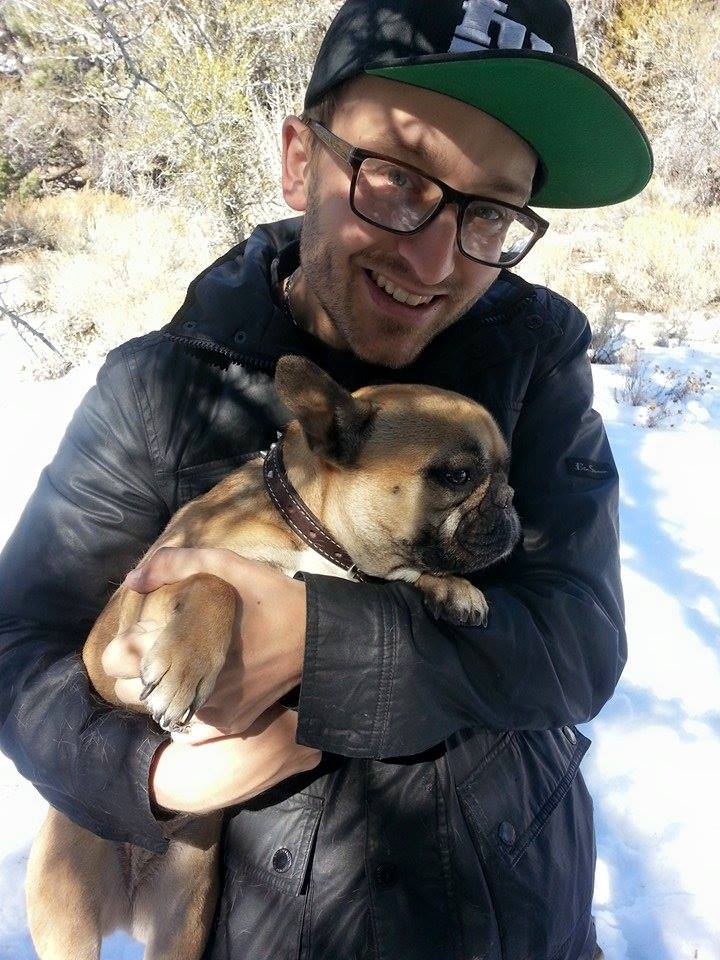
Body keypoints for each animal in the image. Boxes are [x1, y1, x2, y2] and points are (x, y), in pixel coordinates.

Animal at [26, 355, 521, 959]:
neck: (312, 531)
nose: (511, 498)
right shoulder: (151, 588)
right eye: (458, 476)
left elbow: (408, 573)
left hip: (185, 919)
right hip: (68, 917)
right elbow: (216, 581)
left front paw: (452, 587)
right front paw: (183, 667)